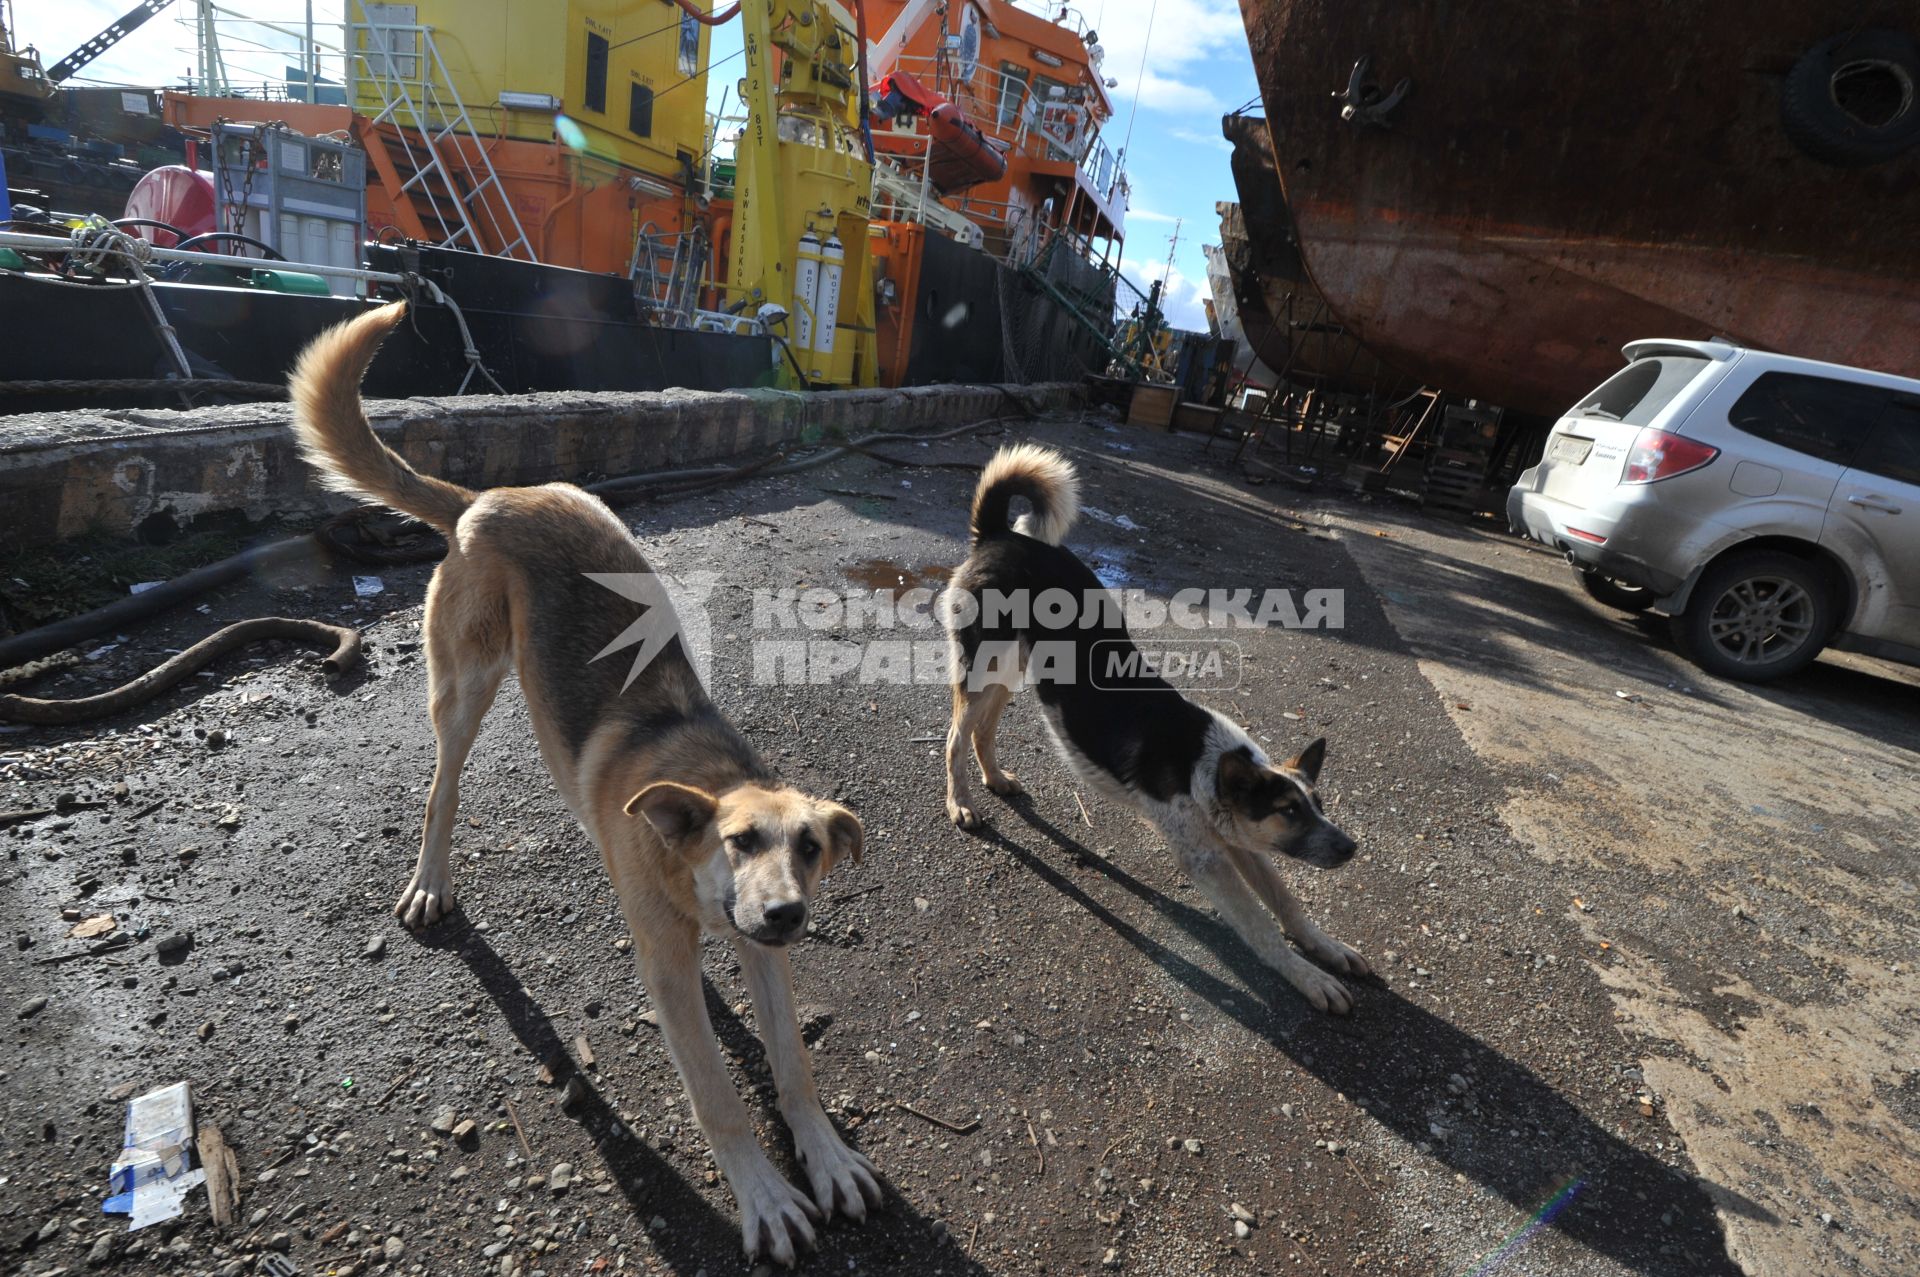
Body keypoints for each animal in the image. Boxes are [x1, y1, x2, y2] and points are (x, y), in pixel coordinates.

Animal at [288, 301, 879, 1267]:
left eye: (813, 847)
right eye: (740, 840)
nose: (789, 912)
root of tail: (485, 498)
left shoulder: (759, 952)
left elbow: (791, 1061)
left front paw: (823, 1153)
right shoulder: (673, 964)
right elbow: (718, 1095)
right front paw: (762, 1192)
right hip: (464, 690)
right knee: (441, 792)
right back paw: (431, 877)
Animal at [940, 443, 1367, 1013]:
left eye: (1318, 805)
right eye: (1289, 811)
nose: (1350, 848)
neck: (1203, 764)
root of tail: (997, 535)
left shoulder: (1238, 843)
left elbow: (1287, 903)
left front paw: (1327, 949)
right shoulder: (1207, 859)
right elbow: (1261, 927)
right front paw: (1306, 976)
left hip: (1012, 670)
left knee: (983, 730)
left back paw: (996, 780)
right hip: (981, 667)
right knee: (954, 738)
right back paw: (961, 803)